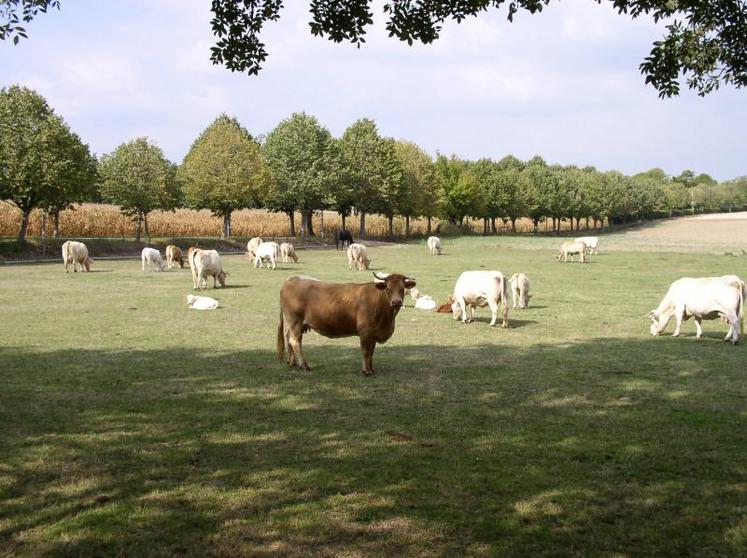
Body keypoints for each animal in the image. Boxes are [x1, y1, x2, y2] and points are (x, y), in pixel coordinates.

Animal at [278, 272, 414, 376]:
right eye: (388, 288)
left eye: (402, 289)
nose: (397, 302)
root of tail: (291, 279)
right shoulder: (365, 332)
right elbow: (365, 351)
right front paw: (366, 371)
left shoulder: (373, 334)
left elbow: (371, 352)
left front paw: (372, 369)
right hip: (295, 321)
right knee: (295, 341)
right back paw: (304, 365)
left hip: (296, 324)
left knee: (288, 337)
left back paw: (292, 362)